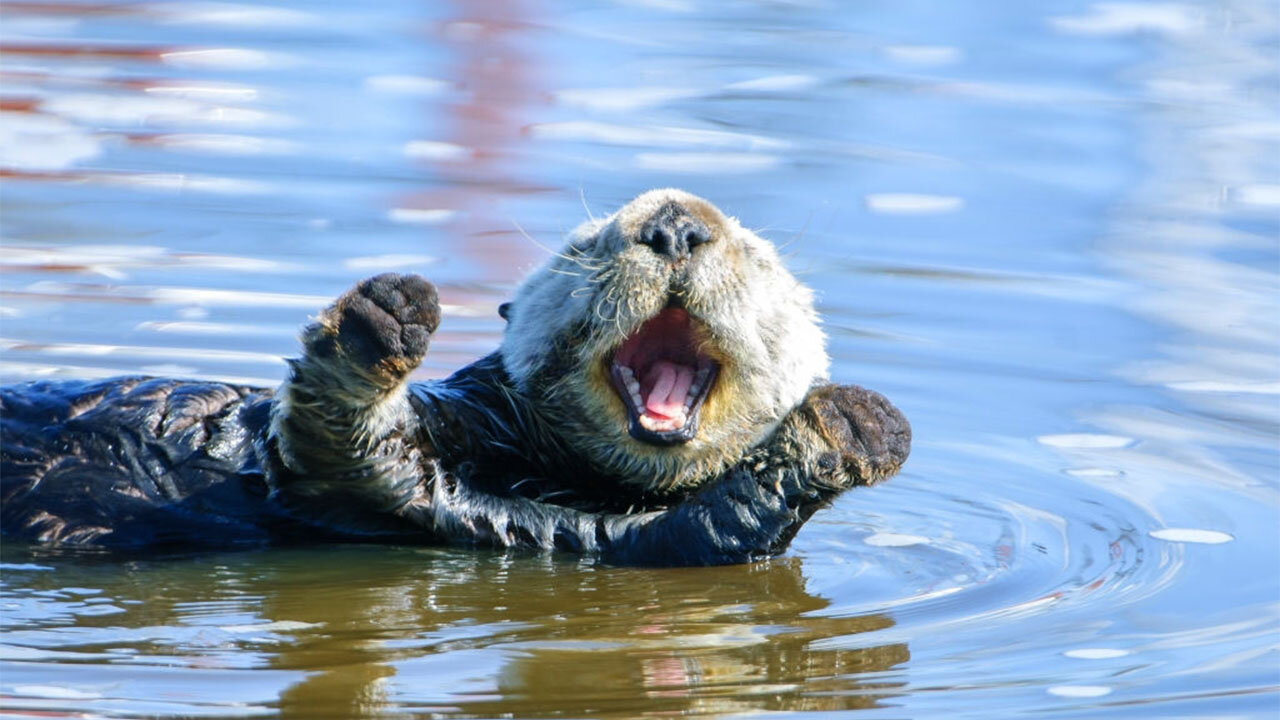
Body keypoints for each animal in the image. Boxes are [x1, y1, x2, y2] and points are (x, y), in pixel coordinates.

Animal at [0, 188, 911, 563]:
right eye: (585, 245)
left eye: (757, 257)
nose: (677, 227)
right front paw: (383, 319)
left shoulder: (570, 534)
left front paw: (848, 430)